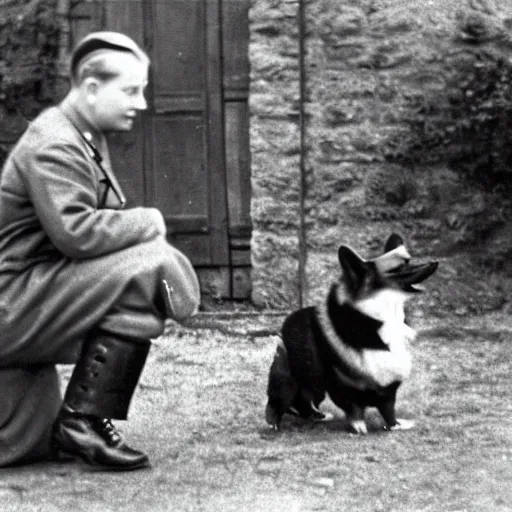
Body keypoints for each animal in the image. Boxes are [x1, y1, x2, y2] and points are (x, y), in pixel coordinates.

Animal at [266, 234, 438, 434]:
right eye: (400, 267)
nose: (435, 261)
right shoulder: (343, 386)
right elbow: (354, 408)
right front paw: (358, 427)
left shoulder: (388, 389)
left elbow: (388, 409)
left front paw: (394, 425)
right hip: (294, 378)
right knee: (286, 401)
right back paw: (277, 422)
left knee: (304, 399)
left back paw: (317, 415)